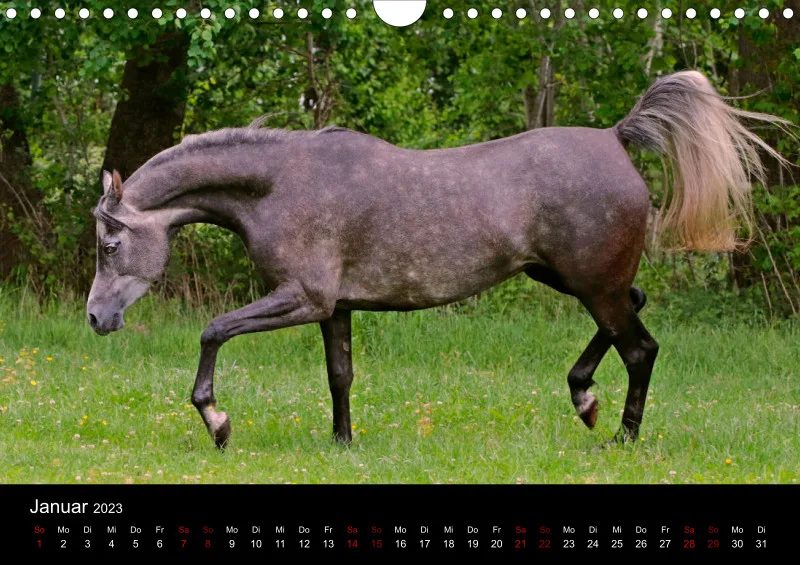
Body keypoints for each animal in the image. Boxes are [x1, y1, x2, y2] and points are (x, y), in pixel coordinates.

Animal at [87, 70, 788, 450]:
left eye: (110, 243)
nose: (96, 319)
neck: (281, 183)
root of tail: (616, 138)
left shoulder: (302, 298)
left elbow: (213, 332)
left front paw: (218, 422)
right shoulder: (333, 307)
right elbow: (339, 374)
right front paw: (343, 443)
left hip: (593, 284)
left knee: (640, 347)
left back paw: (620, 434)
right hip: (574, 278)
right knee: (630, 317)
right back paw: (583, 396)